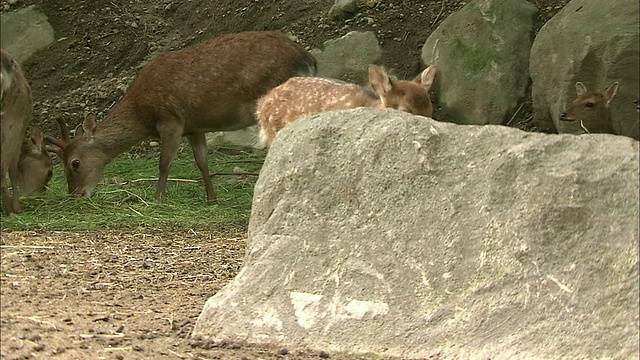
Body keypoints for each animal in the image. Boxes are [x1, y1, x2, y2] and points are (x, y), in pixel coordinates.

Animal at [45, 31, 318, 202]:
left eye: (74, 163)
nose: (76, 194)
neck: (142, 113)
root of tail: (308, 59)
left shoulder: (170, 119)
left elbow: (164, 162)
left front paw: (157, 198)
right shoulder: (194, 127)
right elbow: (202, 161)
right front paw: (211, 198)